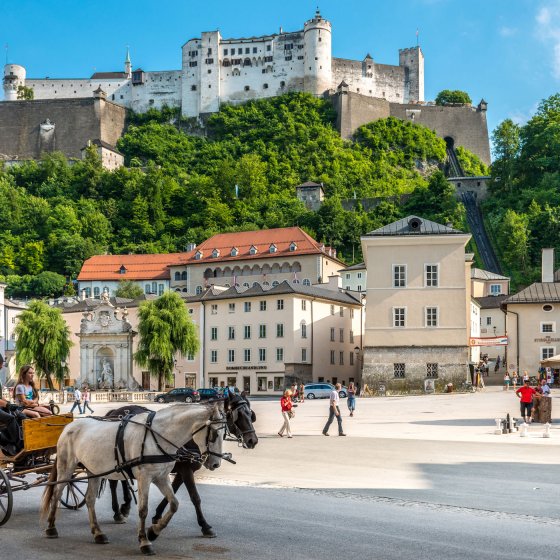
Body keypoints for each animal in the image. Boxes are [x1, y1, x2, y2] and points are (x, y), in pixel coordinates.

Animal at [41, 402, 226, 556]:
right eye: (214, 434)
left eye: (224, 433)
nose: (216, 463)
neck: (158, 436)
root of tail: (69, 426)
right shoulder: (145, 477)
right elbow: (143, 510)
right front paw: (145, 541)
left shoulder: (161, 477)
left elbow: (174, 504)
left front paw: (154, 531)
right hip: (66, 467)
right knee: (57, 493)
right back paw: (51, 527)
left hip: (94, 470)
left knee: (90, 499)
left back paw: (98, 532)